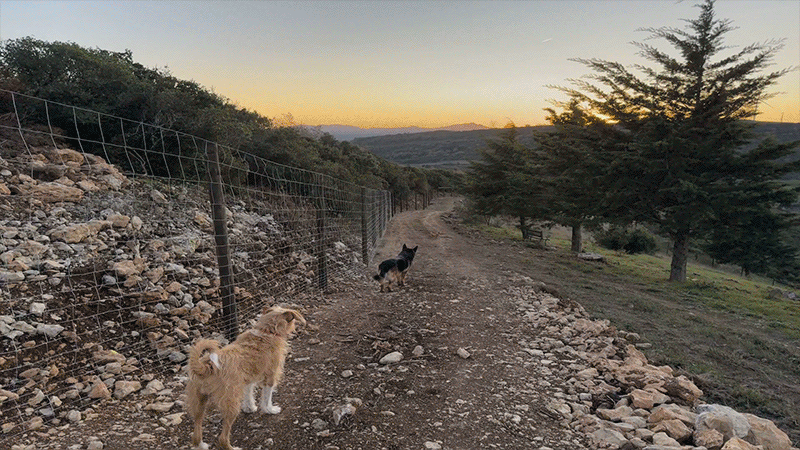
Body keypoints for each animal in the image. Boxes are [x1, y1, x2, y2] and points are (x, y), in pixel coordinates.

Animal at [185, 305, 305, 450]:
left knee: (196, 430)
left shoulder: (248, 380)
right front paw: (269, 410)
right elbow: (267, 397)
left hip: (199, 402)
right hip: (231, 404)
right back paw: (231, 447)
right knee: (223, 437)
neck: (268, 331)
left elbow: (249, 395)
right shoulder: (270, 378)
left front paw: (250, 408)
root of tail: (207, 365)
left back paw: (201, 445)